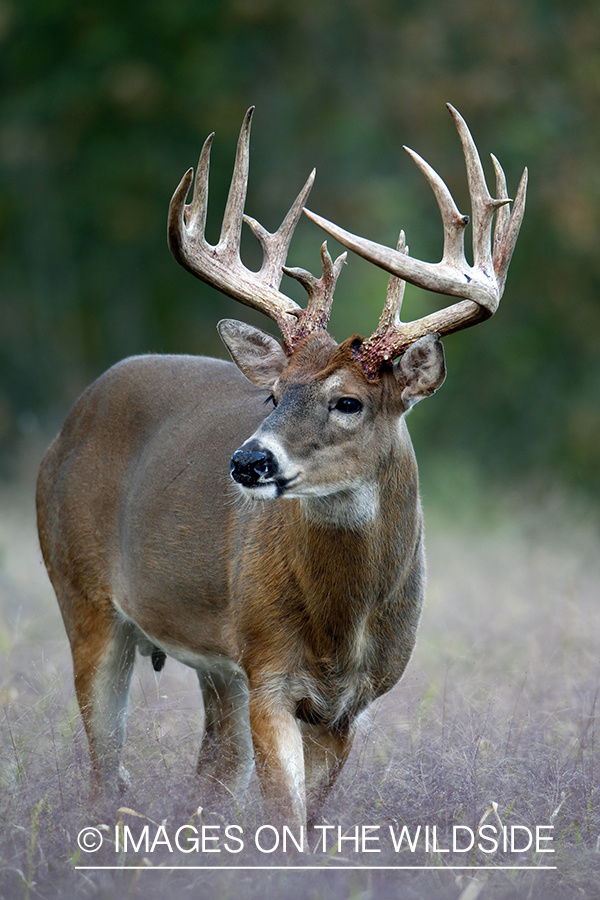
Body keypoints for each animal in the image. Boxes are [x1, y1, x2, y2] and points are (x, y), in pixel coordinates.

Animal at [36, 103, 524, 828]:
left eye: (348, 400)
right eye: (273, 395)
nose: (248, 461)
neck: (340, 626)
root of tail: (68, 424)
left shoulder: (351, 704)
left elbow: (307, 821)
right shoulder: (269, 671)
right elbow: (285, 819)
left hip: (217, 663)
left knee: (207, 774)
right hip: (84, 593)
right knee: (106, 768)